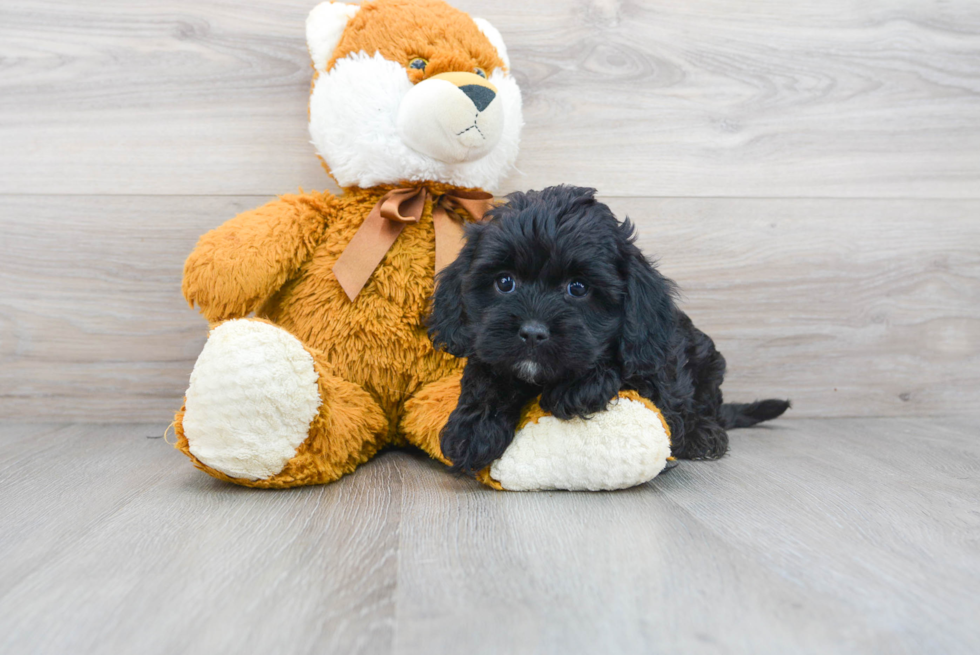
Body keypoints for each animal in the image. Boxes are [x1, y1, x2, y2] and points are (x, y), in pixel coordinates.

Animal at [428, 184, 788, 476]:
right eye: (505, 282)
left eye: (578, 288)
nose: (532, 332)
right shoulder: (488, 346)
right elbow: (486, 374)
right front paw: (473, 429)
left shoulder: (656, 373)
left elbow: (624, 367)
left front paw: (579, 385)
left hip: (707, 361)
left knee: (705, 406)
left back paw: (704, 434)